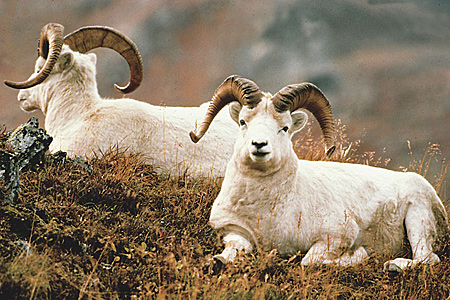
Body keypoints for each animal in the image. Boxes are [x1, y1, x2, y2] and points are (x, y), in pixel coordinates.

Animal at [192, 75, 448, 272]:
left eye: (284, 127)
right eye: (243, 121)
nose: (259, 144)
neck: (267, 210)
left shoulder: (335, 237)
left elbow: (310, 262)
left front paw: (359, 255)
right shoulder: (235, 232)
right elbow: (232, 250)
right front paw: (217, 261)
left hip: (417, 219)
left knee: (428, 258)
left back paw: (393, 266)